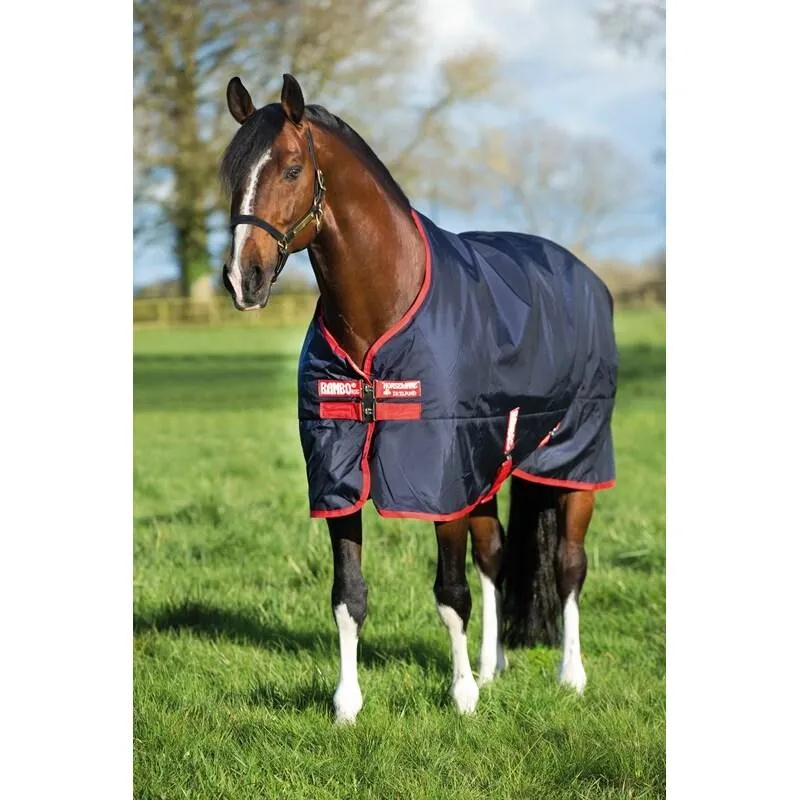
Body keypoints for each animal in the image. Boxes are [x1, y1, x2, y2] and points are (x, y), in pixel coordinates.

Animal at [219, 73, 617, 724]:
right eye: (231, 173)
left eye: (293, 169)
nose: (241, 279)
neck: (383, 310)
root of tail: (585, 275)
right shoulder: (341, 475)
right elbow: (349, 595)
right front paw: (347, 704)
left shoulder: (438, 478)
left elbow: (451, 593)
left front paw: (462, 697)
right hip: (487, 465)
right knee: (496, 556)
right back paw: (494, 666)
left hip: (575, 460)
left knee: (569, 566)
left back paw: (571, 676)